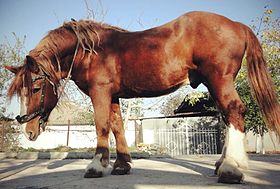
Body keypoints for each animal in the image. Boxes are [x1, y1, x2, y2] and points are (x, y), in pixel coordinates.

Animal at [5, 11, 278, 183]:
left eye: (36, 88)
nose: (29, 131)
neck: (89, 51)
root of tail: (237, 25)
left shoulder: (100, 93)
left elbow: (102, 126)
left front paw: (96, 166)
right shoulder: (112, 96)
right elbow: (117, 126)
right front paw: (121, 165)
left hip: (219, 80)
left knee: (234, 110)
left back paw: (231, 168)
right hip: (214, 83)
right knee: (227, 114)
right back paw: (223, 164)